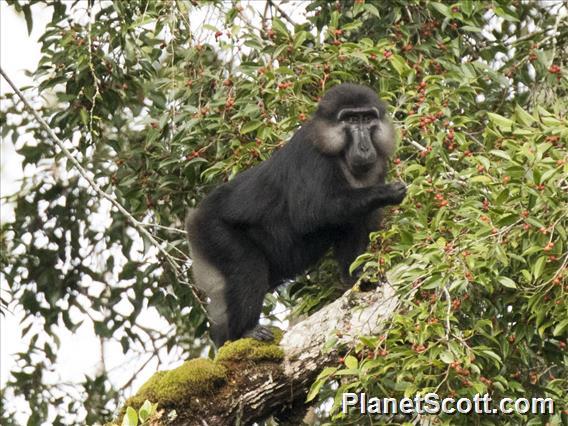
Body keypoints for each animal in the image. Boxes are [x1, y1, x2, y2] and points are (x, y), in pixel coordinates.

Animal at [189, 83, 406, 346]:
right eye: (351, 119)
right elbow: (310, 213)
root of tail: (196, 215)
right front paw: (387, 192)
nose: (364, 145)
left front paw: (356, 280)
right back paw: (245, 331)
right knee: (247, 267)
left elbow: (354, 226)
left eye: (366, 118)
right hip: (212, 230)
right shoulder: (311, 156)